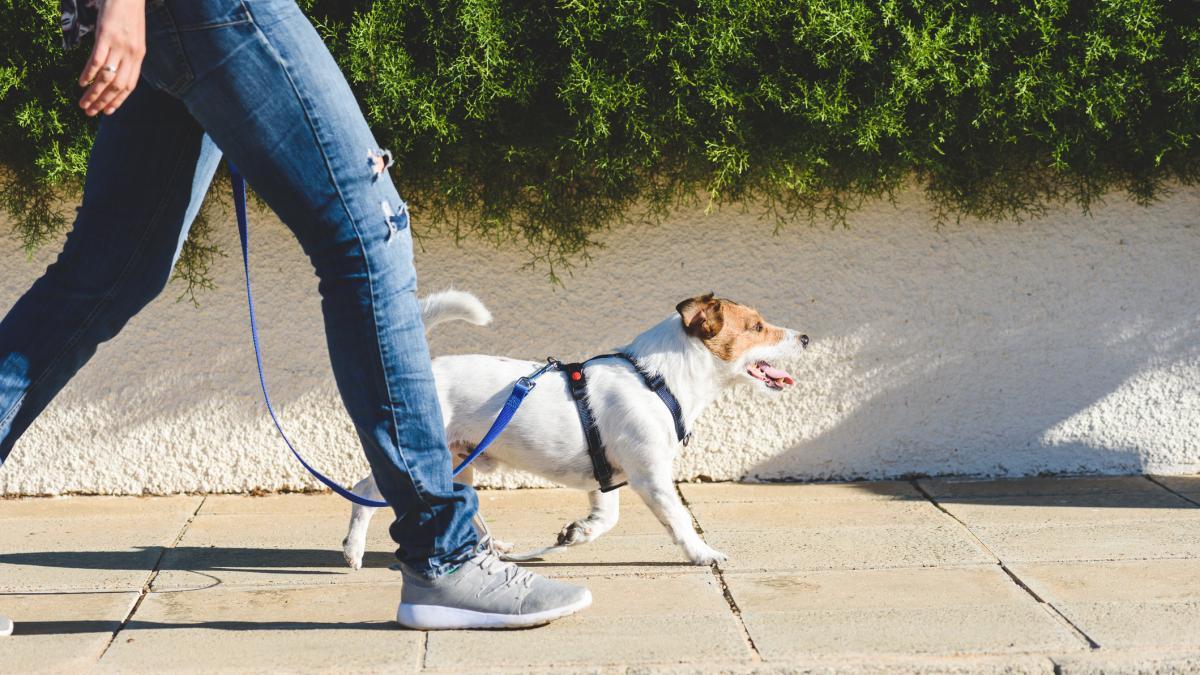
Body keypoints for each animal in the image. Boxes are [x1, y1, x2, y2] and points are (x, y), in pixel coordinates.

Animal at [338, 288, 806, 562]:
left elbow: (606, 518)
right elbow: (679, 521)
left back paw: (494, 547)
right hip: (420, 457)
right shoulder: (651, 477)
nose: (804, 338)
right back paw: (354, 550)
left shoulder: (608, 479)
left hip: (458, 463)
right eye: (757, 327)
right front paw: (702, 553)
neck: (658, 379)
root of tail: (424, 372)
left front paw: (577, 534)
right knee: (364, 492)